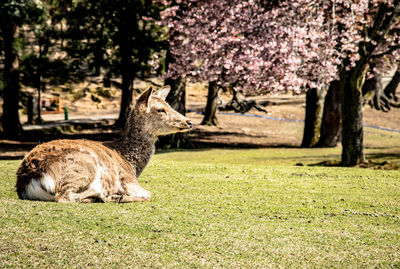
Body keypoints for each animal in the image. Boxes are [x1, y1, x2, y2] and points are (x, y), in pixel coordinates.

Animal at [16, 87, 195, 202]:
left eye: (169, 105)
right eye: (160, 109)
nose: (189, 121)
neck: (132, 165)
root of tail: (30, 178)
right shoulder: (128, 180)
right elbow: (148, 194)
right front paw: (120, 196)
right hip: (84, 166)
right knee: (64, 196)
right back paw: (105, 195)